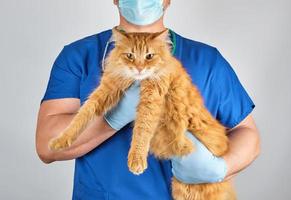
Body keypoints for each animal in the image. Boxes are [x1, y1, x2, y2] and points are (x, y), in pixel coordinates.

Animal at [49, 26, 237, 200]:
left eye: (149, 56)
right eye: (130, 55)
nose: (139, 69)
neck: (136, 81)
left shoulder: (151, 101)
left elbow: (141, 131)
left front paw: (136, 160)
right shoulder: (106, 88)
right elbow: (82, 115)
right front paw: (61, 139)